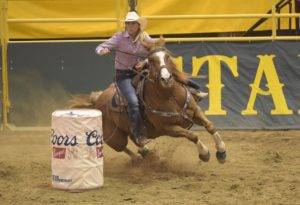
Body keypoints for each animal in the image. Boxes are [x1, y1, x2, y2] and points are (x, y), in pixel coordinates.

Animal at [70, 45, 226, 163]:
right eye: (151, 60)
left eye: (167, 56)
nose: (166, 78)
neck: (169, 95)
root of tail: (98, 99)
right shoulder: (168, 128)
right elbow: (192, 135)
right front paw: (204, 153)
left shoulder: (195, 111)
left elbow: (210, 126)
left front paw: (222, 151)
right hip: (114, 137)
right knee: (123, 147)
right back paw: (139, 158)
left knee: (137, 139)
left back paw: (146, 153)